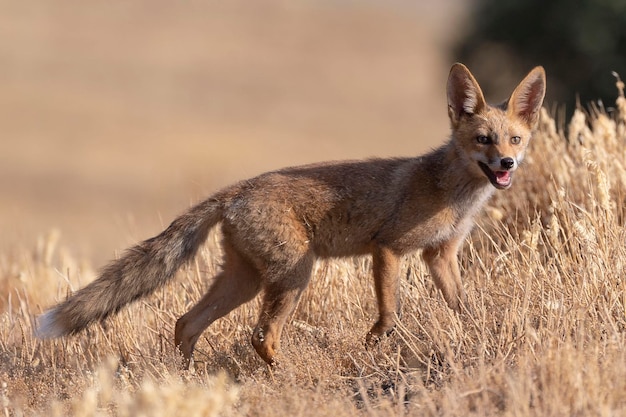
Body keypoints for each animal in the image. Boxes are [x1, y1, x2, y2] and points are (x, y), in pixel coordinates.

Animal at [34, 63, 544, 366]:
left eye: (514, 139)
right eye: (482, 140)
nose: (506, 164)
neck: (451, 191)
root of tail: (236, 189)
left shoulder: (441, 255)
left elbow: (464, 306)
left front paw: (478, 334)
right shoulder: (388, 247)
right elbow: (389, 312)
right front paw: (374, 344)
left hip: (246, 281)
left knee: (186, 322)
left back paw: (188, 378)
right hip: (295, 275)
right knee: (260, 337)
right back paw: (279, 373)